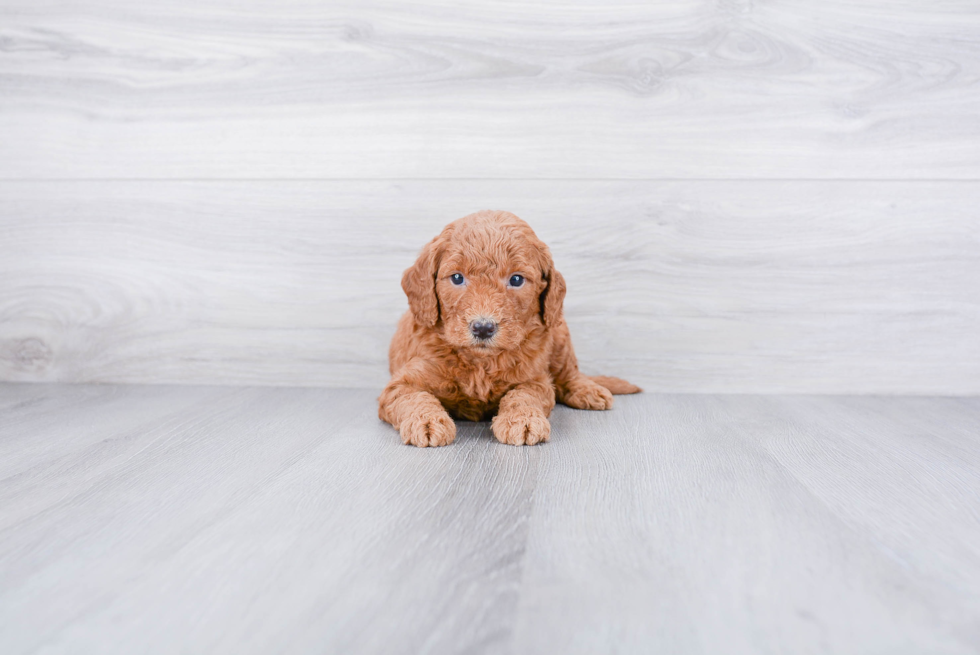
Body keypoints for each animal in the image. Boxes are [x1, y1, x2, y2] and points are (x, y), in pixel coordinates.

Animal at [380, 210, 644, 446]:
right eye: (456, 278)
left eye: (516, 280)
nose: (483, 327)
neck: (481, 364)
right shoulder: (402, 383)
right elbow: (414, 397)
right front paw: (426, 422)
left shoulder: (536, 379)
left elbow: (523, 395)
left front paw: (523, 420)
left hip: (559, 332)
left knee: (568, 373)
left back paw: (588, 390)